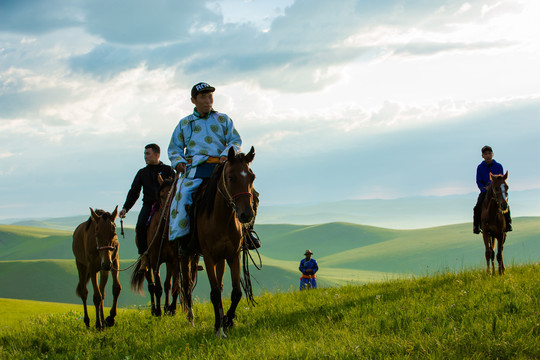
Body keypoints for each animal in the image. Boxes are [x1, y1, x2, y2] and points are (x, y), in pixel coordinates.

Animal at [130, 176, 181, 316]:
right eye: (162, 196)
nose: (170, 214)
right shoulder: (154, 261)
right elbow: (158, 287)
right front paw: (158, 311)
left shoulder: (173, 260)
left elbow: (173, 286)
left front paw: (171, 309)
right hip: (147, 262)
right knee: (151, 285)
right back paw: (154, 309)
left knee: (167, 284)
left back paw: (166, 307)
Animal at [181, 146, 255, 338]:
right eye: (231, 177)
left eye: (252, 177)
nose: (246, 215)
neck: (221, 219)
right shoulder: (208, 257)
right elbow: (214, 293)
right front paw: (218, 328)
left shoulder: (233, 255)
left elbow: (236, 292)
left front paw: (227, 321)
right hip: (187, 255)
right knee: (187, 285)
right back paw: (190, 319)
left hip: (220, 259)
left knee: (221, 286)